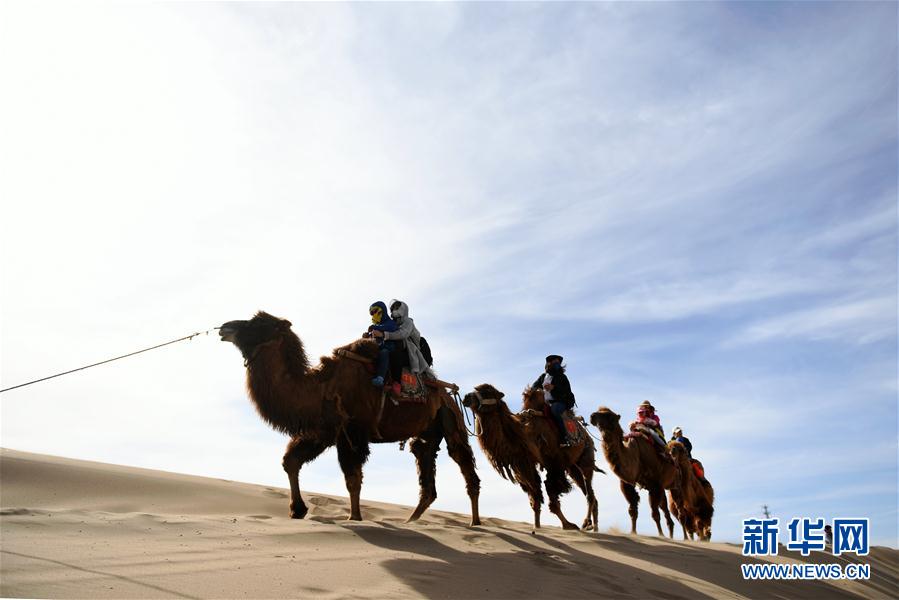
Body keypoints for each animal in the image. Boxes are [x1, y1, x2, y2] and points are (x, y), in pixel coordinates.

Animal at [221, 312, 482, 524]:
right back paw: (411, 520)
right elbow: (291, 461)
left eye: (259, 324)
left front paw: (354, 517)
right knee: (425, 464)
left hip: (451, 419)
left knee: (463, 462)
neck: (321, 387)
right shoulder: (323, 431)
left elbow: (352, 478)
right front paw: (297, 510)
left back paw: (475, 522)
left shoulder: (353, 432)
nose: (225, 327)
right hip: (427, 432)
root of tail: (447, 393)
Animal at [460, 384, 600, 528]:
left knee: (589, 492)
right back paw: (592, 525)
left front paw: (568, 525)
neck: (524, 435)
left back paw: (587, 522)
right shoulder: (525, 465)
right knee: (589, 493)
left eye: (487, 392)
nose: (466, 397)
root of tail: (586, 434)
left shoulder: (553, 464)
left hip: (586, 457)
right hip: (572, 467)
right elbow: (535, 497)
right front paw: (537, 527)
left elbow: (551, 494)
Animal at [592, 406, 676, 536]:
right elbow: (632, 510)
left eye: (608, 415)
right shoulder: (627, 483)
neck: (636, 454)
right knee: (664, 507)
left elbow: (655, 513)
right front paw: (633, 532)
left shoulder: (655, 484)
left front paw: (661, 535)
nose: (592, 416)